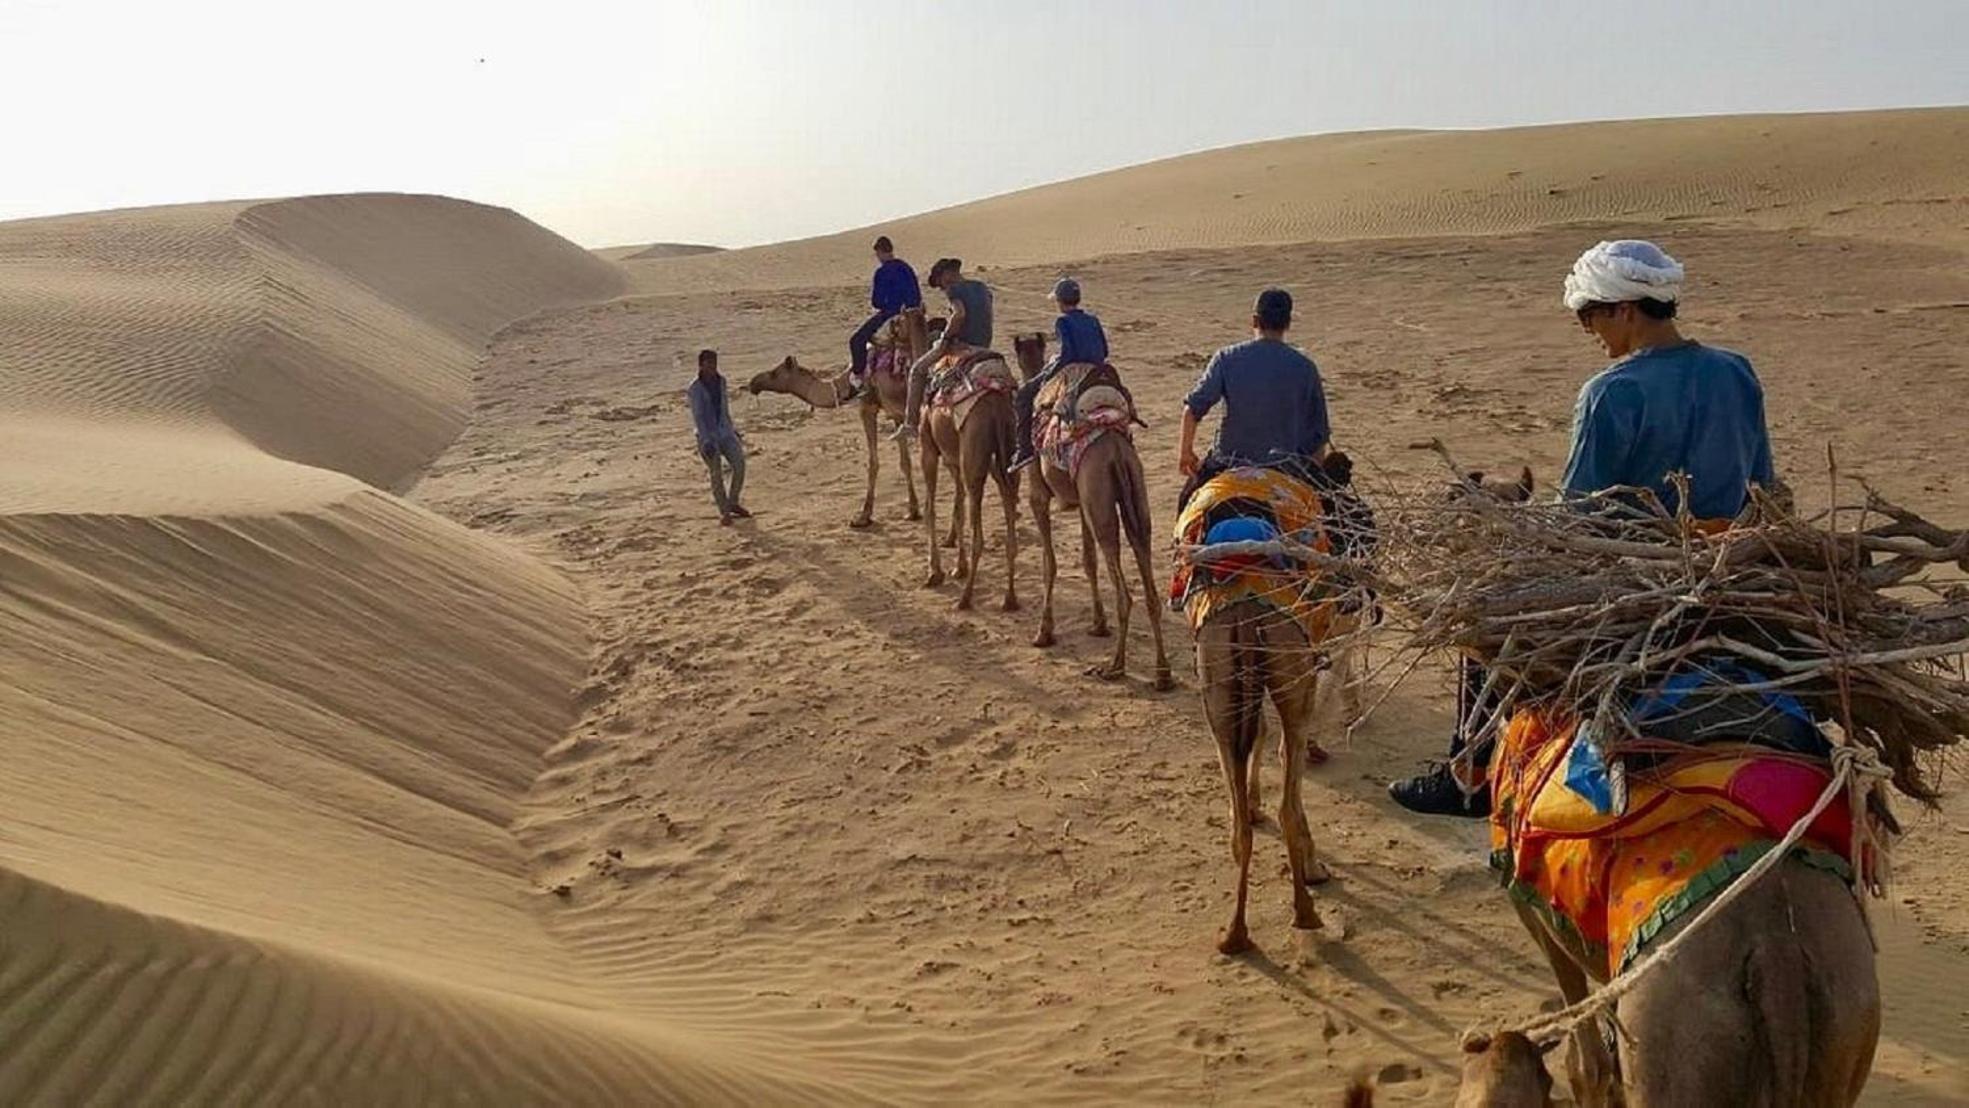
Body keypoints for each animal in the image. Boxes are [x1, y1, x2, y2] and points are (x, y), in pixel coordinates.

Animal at [744, 310, 937, 531]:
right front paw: (913, 511)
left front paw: (863, 517)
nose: (754, 382)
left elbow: (873, 462)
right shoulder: (897, 414)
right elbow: (905, 462)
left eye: (775, 373)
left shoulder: (867, 406)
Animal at [1016, 334, 1165, 688]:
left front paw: (1044, 633)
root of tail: (1115, 452)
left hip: (1101, 499)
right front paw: (1098, 624)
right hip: (1131, 495)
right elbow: (1088, 560)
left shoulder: (1039, 496)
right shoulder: (1084, 501)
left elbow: (1049, 564)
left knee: (1125, 591)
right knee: (1149, 583)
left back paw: (1115, 667)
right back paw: (1162, 674)